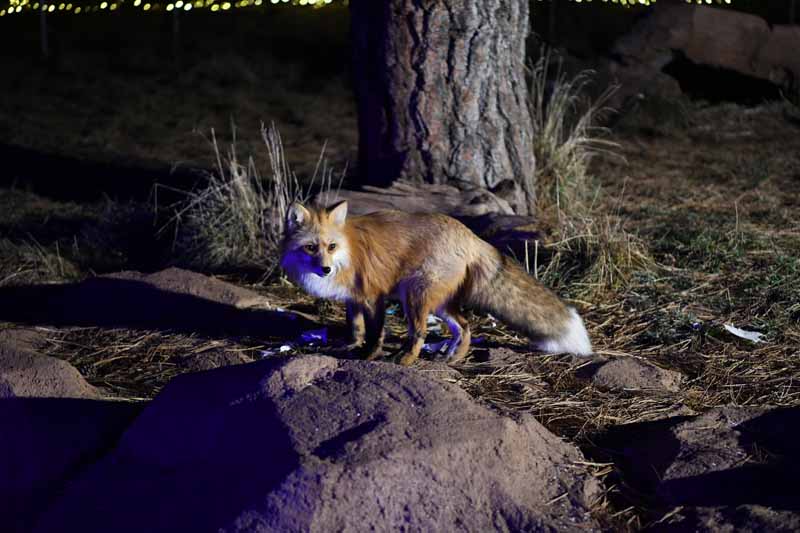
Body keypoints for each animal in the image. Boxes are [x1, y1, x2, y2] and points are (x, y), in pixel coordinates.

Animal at [280, 201, 592, 366]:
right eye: (311, 247)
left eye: (331, 246)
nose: (325, 269)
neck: (348, 252)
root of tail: (471, 235)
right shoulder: (353, 299)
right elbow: (355, 328)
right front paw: (348, 346)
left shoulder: (372, 296)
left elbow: (375, 334)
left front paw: (368, 356)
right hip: (438, 303)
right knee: (465, 326)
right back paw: (454, 357)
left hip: (414, 296)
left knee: (419, 333)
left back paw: (405, 360)